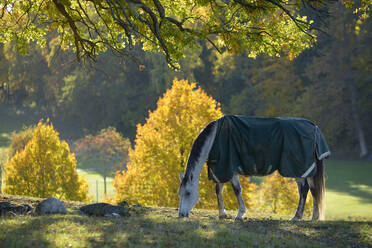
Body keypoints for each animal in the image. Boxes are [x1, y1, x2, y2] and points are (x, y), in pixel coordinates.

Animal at [179, 115, 330, 222]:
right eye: (179, 194)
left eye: (188, 193)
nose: (181, 214)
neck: (215, 137)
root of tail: (314, 127)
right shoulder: (221, 169)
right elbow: (218, 190)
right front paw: (222, 214)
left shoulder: (230, 168)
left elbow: (237, 190)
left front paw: (240, 214)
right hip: (304, 171)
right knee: (312, 190)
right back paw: (313, 217)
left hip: (298, 169)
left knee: (304, 190)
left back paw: (296, 217)